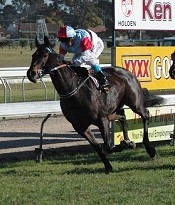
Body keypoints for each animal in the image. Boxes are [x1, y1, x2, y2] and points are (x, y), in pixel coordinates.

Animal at [26, 36, 165, 172]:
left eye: (45, 55)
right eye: (33, 55)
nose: (31, 73)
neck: (73, 89)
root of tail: (127, 72)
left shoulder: (101, 120)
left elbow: (108, 147)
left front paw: (127, 145)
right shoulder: (80, 127)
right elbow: (98, 147)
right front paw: (109, 166)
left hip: (134, 103)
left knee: (145, 115)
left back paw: (149, 149)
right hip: (114, 109)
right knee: (123, 118)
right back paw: (127, 140)